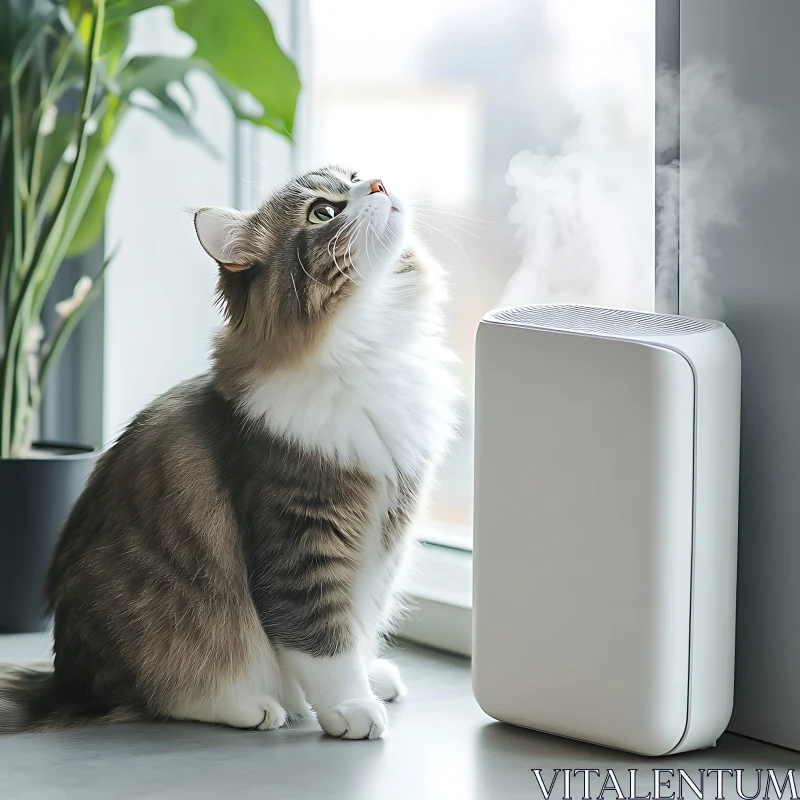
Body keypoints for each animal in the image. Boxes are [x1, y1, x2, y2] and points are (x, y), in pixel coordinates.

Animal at [0, 166, 460, 740]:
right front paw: (350, 707)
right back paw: (255, 706)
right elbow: (323, 640)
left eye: (354, 176)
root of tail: (63, 682)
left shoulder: (385, 541)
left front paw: (367, 677)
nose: (377, 183)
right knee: (157, 694)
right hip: (156, 626)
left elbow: (359, 619)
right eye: (322, 213)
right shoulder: (300, 534)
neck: (372, 348)